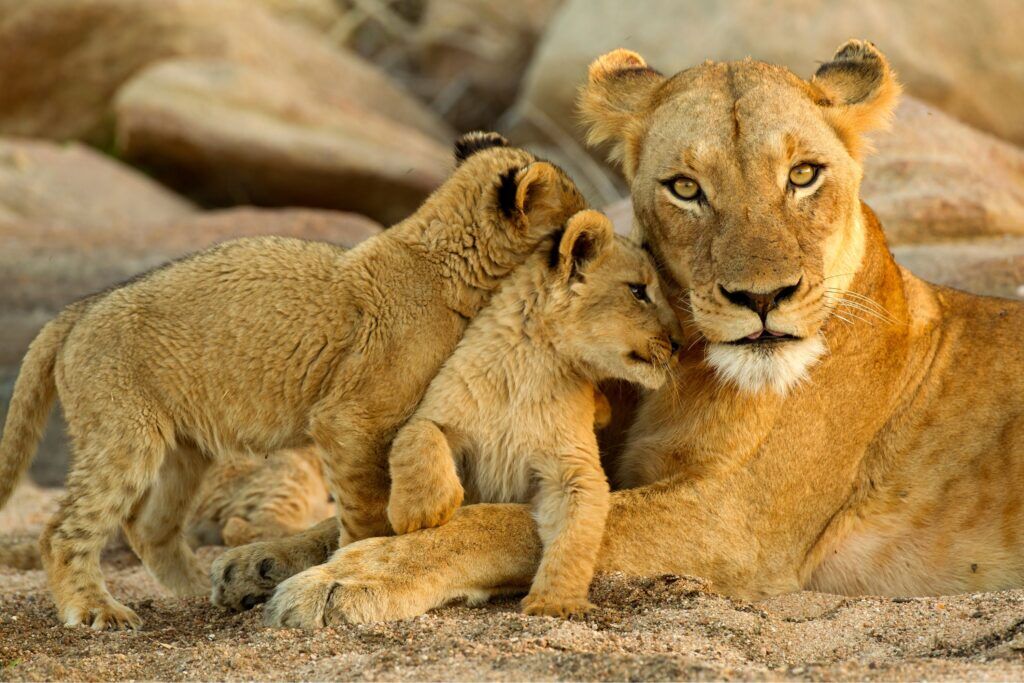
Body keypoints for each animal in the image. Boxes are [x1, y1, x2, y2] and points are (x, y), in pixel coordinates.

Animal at [0, 132, 586, 629]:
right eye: (576, 211)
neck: (444, 262)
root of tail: (79, 309)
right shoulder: (352, 418)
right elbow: (366, 506)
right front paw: (354, 558)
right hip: (125, 433)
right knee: (62, 531)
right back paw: (96, 610)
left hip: (184, 448)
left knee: (147, 526)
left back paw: (201, 589)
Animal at [207, 39, 1024, 627]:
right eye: (686, 188)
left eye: (803, 174)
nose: (762, 298)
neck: (688, 371)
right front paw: (262, 558)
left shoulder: (731, 525)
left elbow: (500, 522)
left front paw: (349, 576)